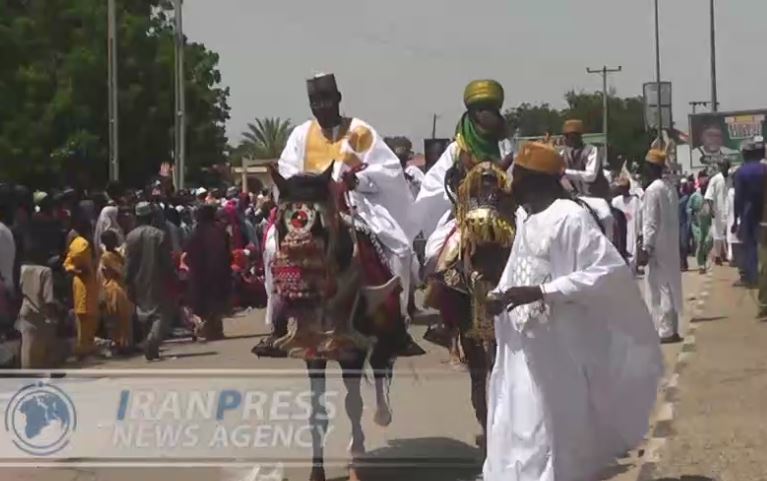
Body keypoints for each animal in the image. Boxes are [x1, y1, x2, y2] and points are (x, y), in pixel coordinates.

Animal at [260, 162, 412, 480]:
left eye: (320, 222)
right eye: (282, 220)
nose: (297, 279)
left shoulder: (352, 351)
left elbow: (353, 404)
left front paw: (357, 459)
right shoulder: (313, 353)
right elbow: (317, 413)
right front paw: (316, 472)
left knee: (381, 367)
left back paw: (382, 415)